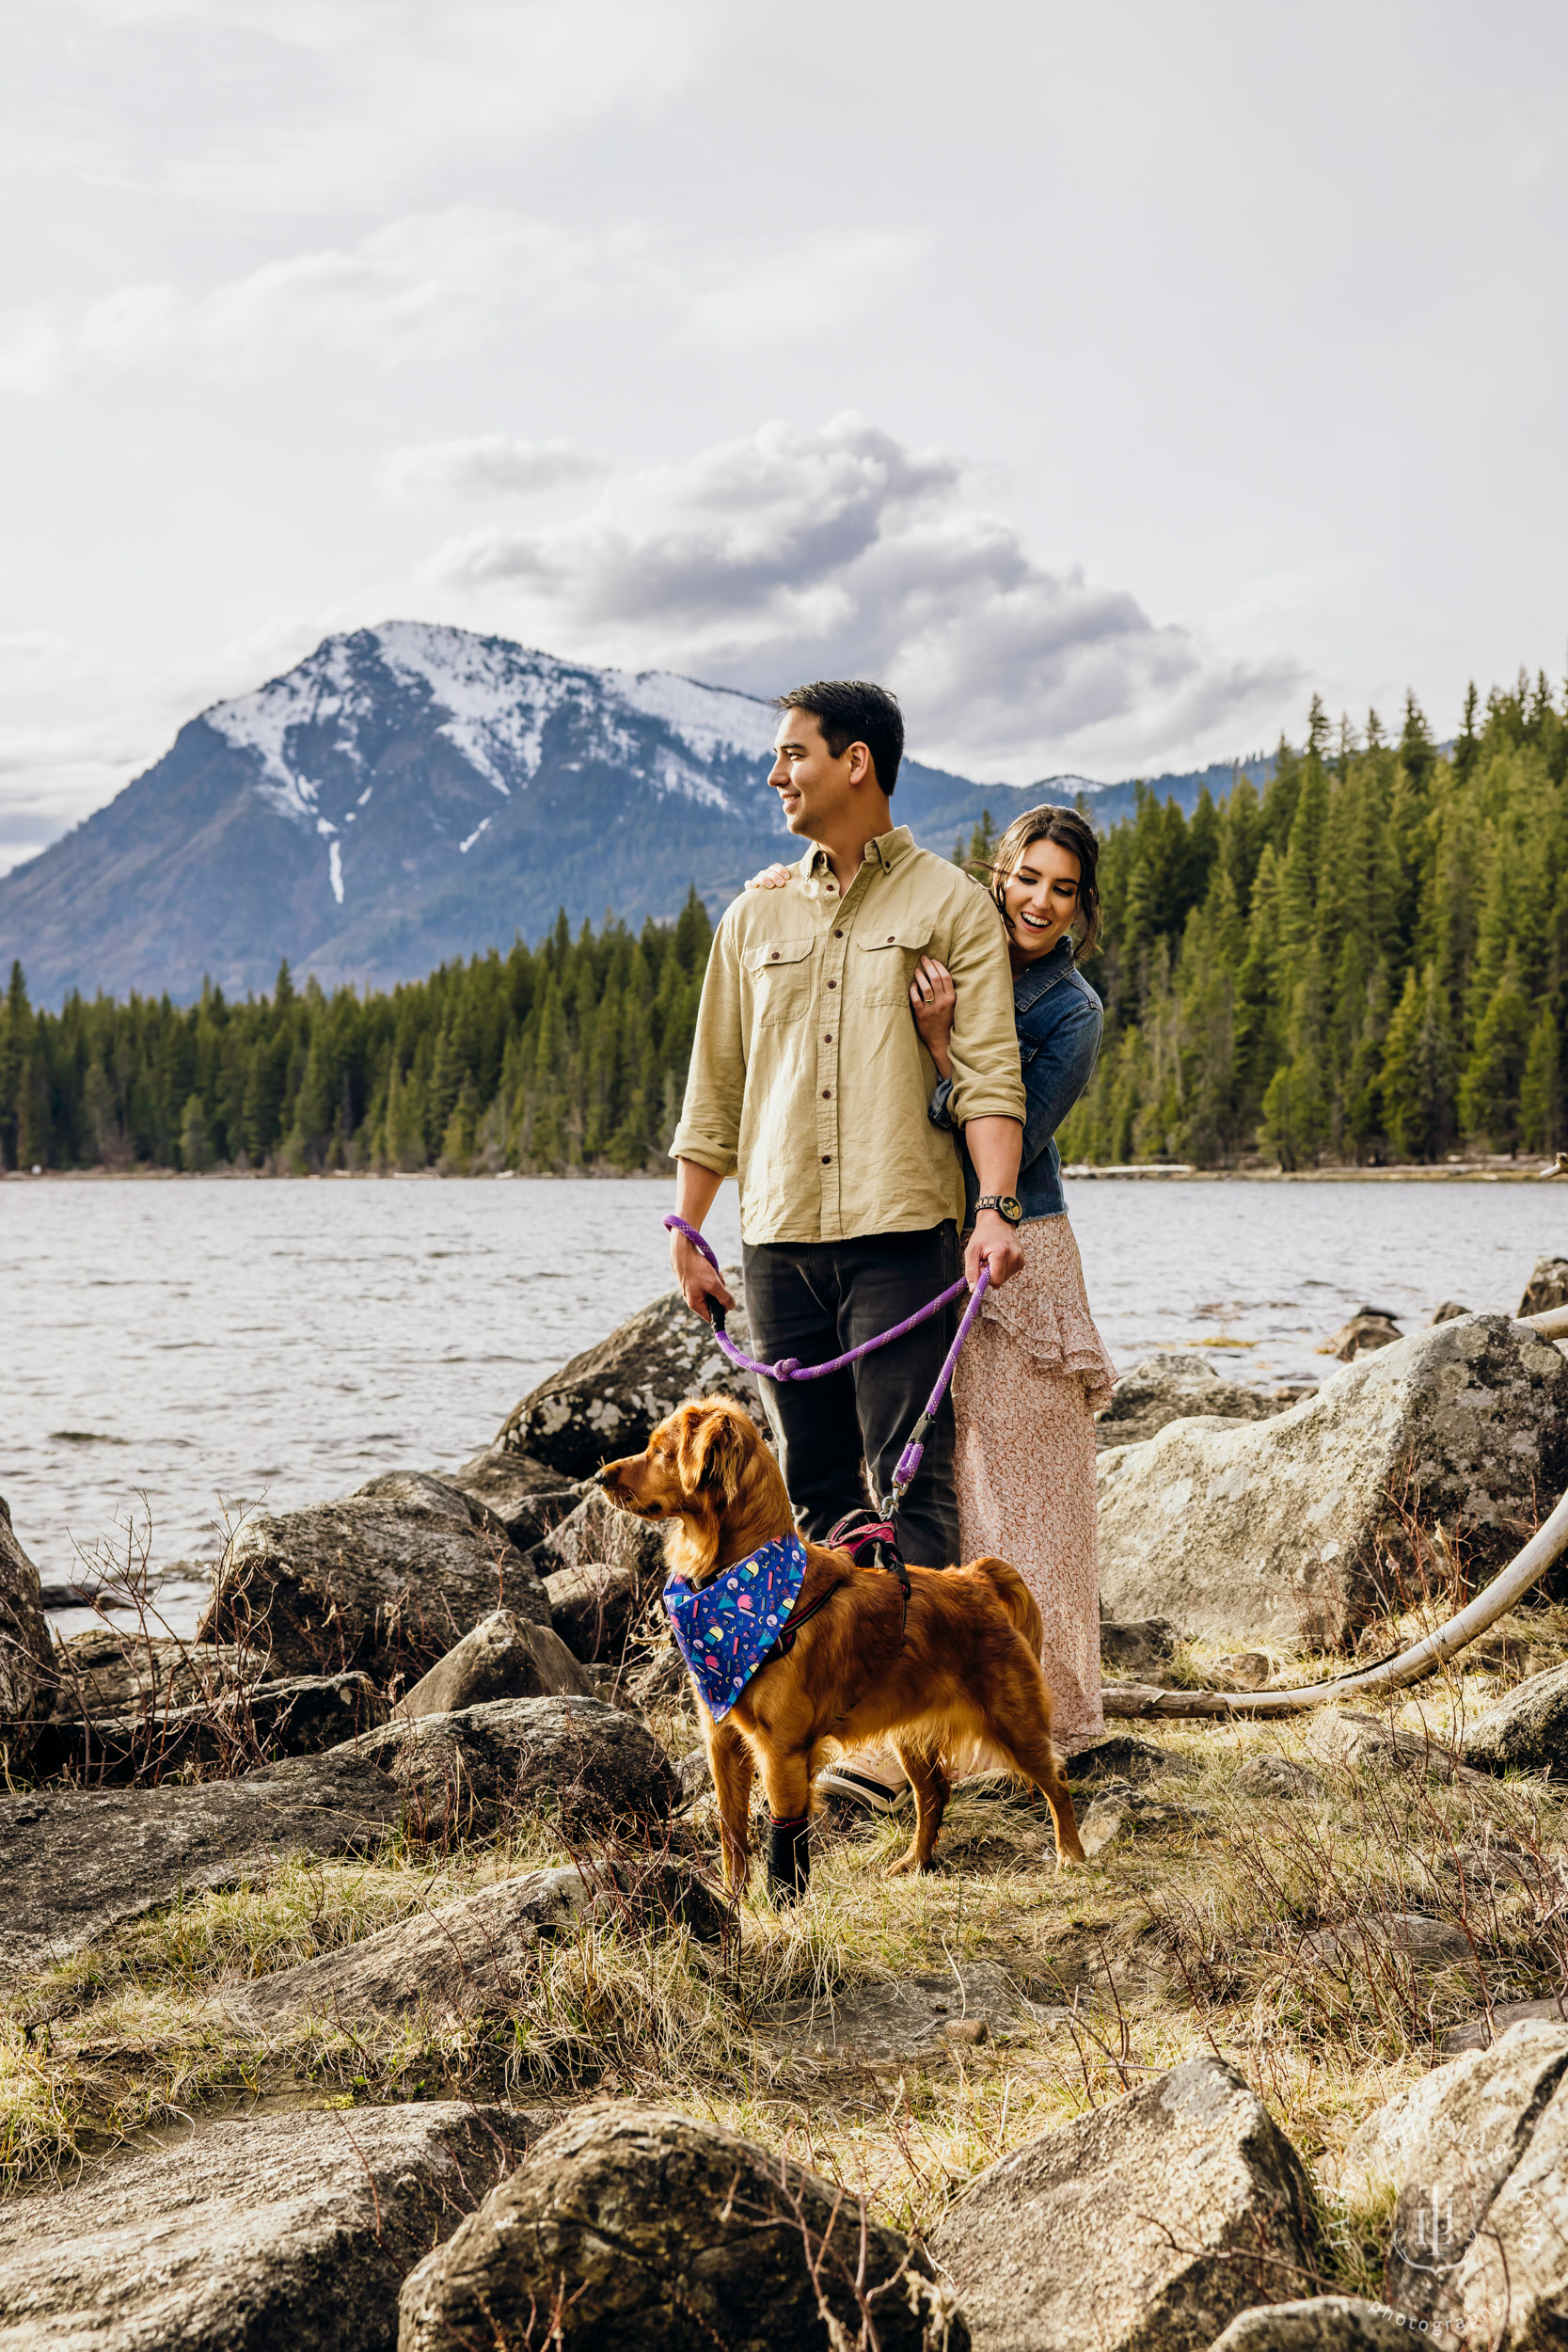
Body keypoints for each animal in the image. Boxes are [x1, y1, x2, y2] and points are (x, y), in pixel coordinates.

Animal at [594, 1392, 1085, 1891]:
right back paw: (916, 1860)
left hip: (1012, 1719)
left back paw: (1072, 1855)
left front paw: (784, 1904)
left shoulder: (782, 1751)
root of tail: (975, 1579)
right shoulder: (722, 1739)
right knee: (934, 1793)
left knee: (1056, 1779)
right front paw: (735, 1899)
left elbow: (784, 1839)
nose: (599, 1477)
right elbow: (731, 1830)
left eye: (661, 1451)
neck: (734, 1583)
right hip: (909, 1729)